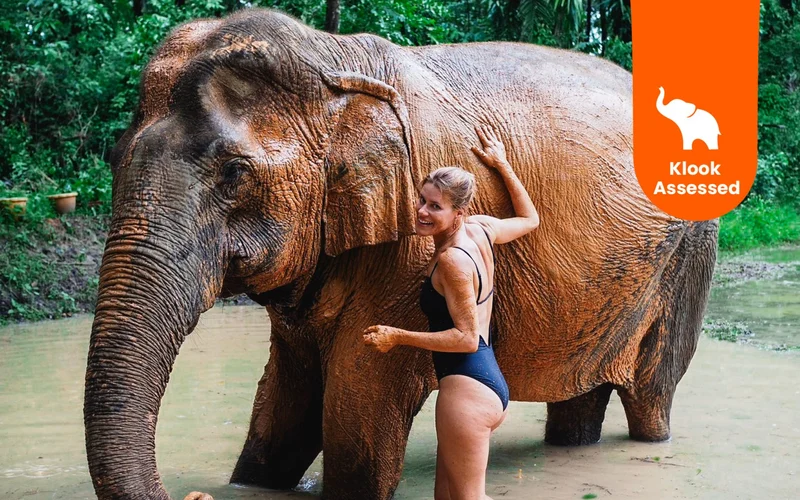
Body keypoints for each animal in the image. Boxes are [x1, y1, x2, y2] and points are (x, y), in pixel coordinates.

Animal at [83, 8, 719, 500]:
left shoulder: (407, 248)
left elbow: (359, 405)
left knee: (653, 392)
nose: (196, 493)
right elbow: (286, 395)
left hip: (689, 254)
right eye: (113, 157)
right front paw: (253, 483)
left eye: (235, 174)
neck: (333, 61)